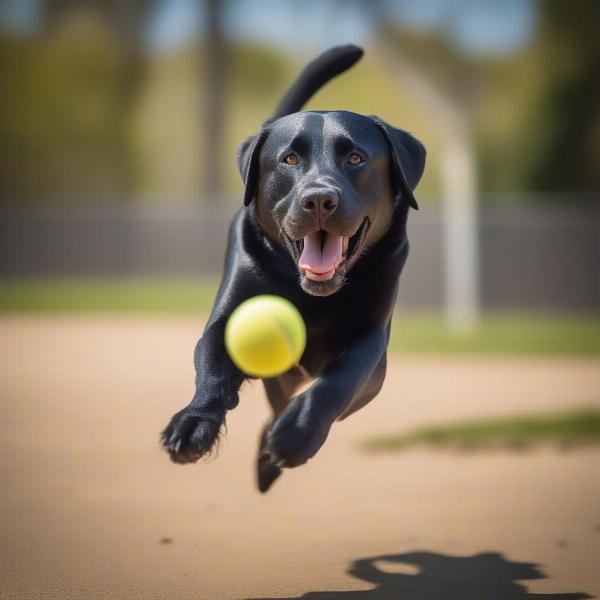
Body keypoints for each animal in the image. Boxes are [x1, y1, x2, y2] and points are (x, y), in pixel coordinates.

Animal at [161, 43, 426, 492]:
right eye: (288, 158)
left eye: (356, 157)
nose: (319, 199)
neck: (312, 296)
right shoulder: (227, 317)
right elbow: (212, 365)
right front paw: (193, 423)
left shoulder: (371, 343)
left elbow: (341, 378)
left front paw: (298, 433)